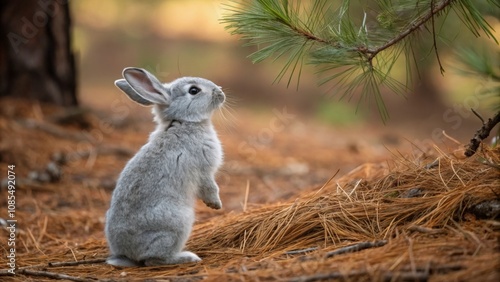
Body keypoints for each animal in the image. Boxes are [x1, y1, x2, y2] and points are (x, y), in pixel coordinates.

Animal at [105, 67, 225, 266]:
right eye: (194, 90)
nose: (220, 92)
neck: (184, 121)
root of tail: (128, 254)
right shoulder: (204, 169)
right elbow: (210, 187)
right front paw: (215, 205)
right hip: (178, 223)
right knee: (153, 260)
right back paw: (187, 257)